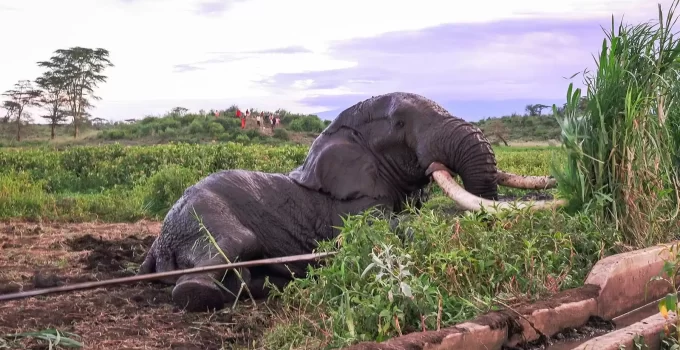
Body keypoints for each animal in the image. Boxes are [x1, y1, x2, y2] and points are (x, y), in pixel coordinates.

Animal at [137, 91, 564, 310]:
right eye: (399, 124)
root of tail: (156, 246)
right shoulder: (350, 208)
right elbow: (385, 230)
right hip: (200, 214)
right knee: (233, 246)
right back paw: (208, 292)